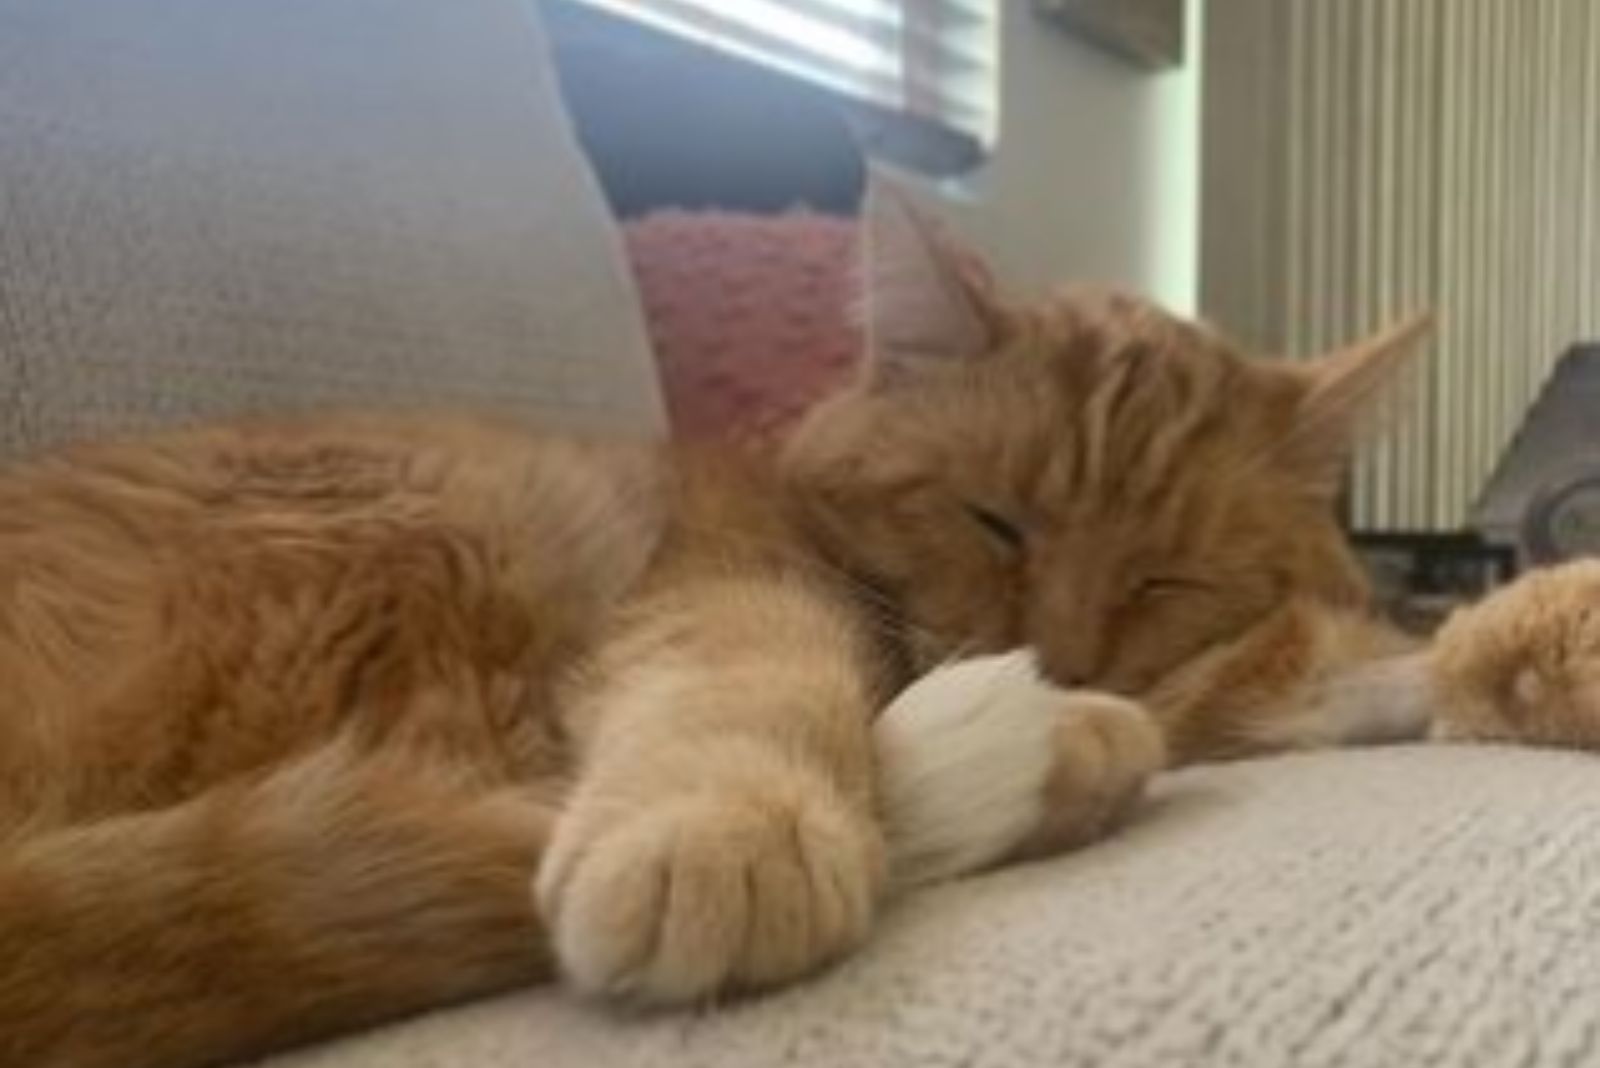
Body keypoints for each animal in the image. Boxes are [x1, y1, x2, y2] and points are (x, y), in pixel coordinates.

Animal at [0, 183, 1574, 1068]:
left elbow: (1355, 664)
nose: (1062, 652)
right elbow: (759, 680)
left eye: (1163, 578)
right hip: (424, 538)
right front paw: (729, 830)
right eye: (996, 523)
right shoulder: (721, 595)